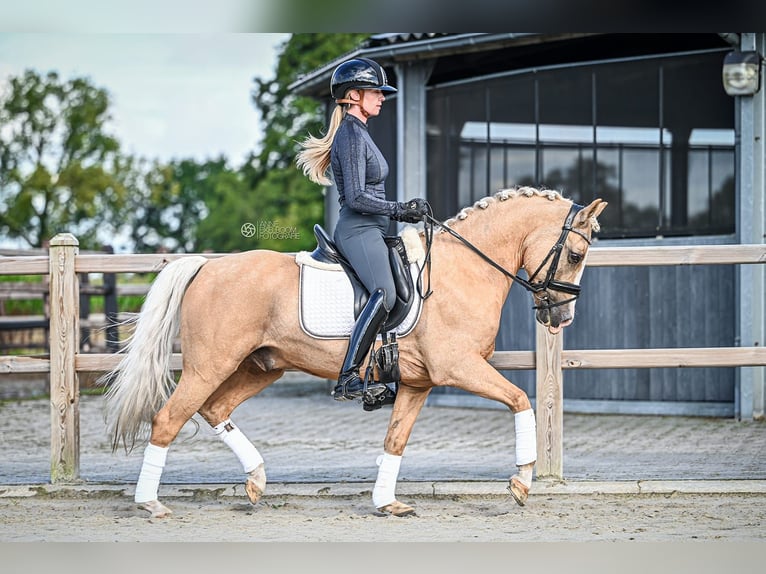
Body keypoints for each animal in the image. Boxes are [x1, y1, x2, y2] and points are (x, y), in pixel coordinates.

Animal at [102, 187, 608, 520]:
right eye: (576, 254)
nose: (561, 317)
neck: (464, 269)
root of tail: (207, 266)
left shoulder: (419, 382)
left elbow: (395, 440)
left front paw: (387, 502)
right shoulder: (459, 368)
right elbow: (521, 400)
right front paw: (522, 482)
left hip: (261, 366)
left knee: (215, 409)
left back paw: (256, 481)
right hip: (211, 365)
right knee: (168, 418)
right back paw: (151, 503)